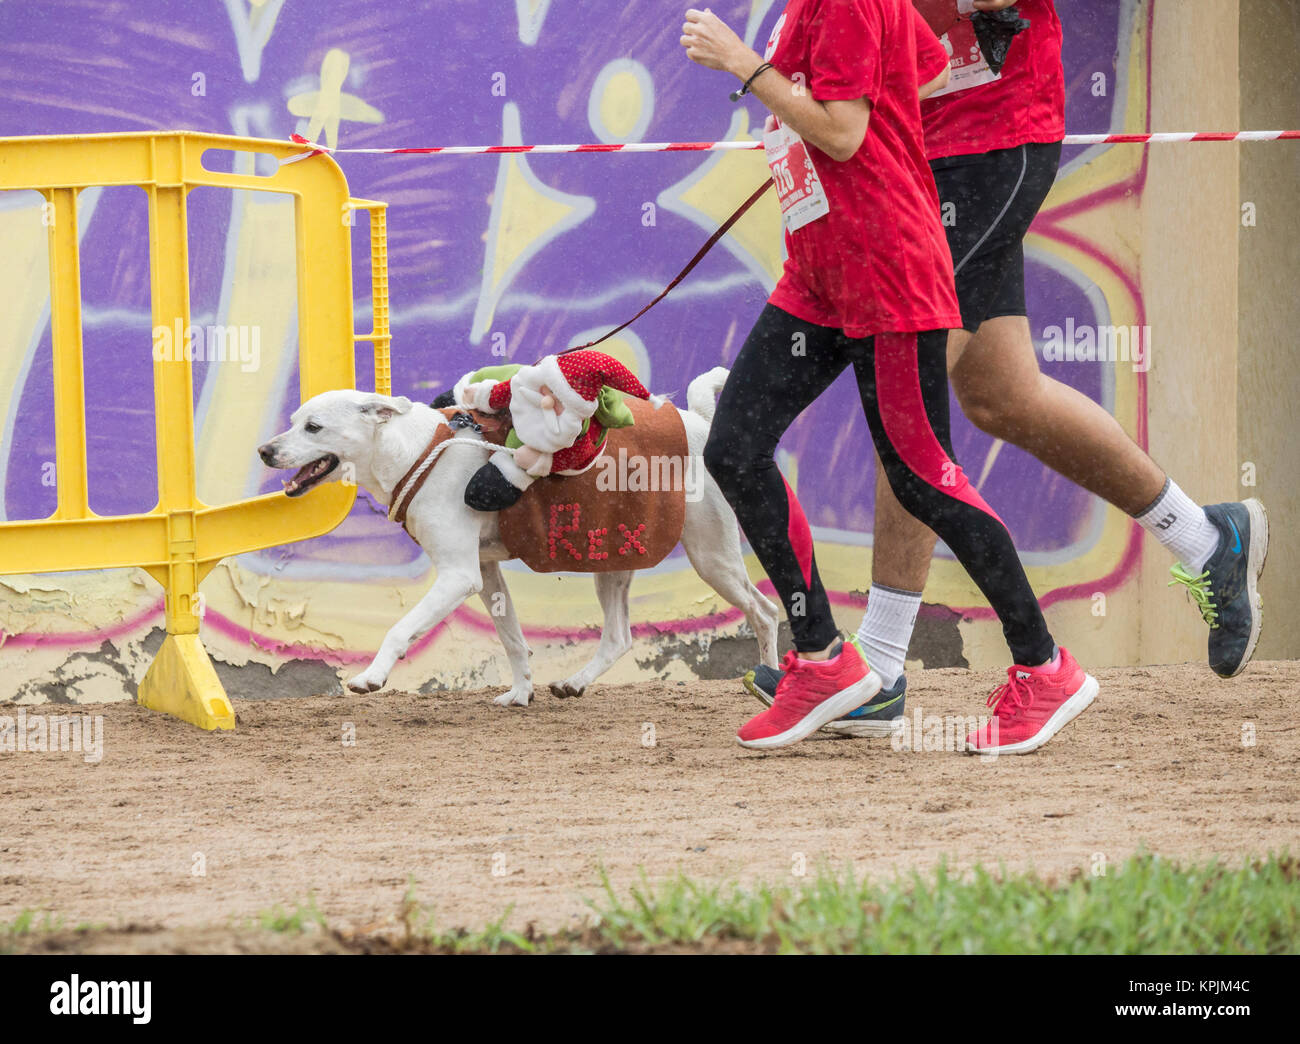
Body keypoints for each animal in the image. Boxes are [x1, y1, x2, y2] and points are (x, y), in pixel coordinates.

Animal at [258, 366, 774, 702]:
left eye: (314, 427)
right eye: (293, 422)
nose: (264, 450)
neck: (417, 452)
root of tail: (700, 423)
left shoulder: (458, 575)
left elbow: (401, 629)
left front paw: (371, 677)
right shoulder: (485, 573)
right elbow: (511, 638)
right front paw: (521, 693)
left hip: (711, 555)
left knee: (764, 612)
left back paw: (768, 677)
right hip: (613, 558)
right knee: (618, 637)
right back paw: (574, 683)